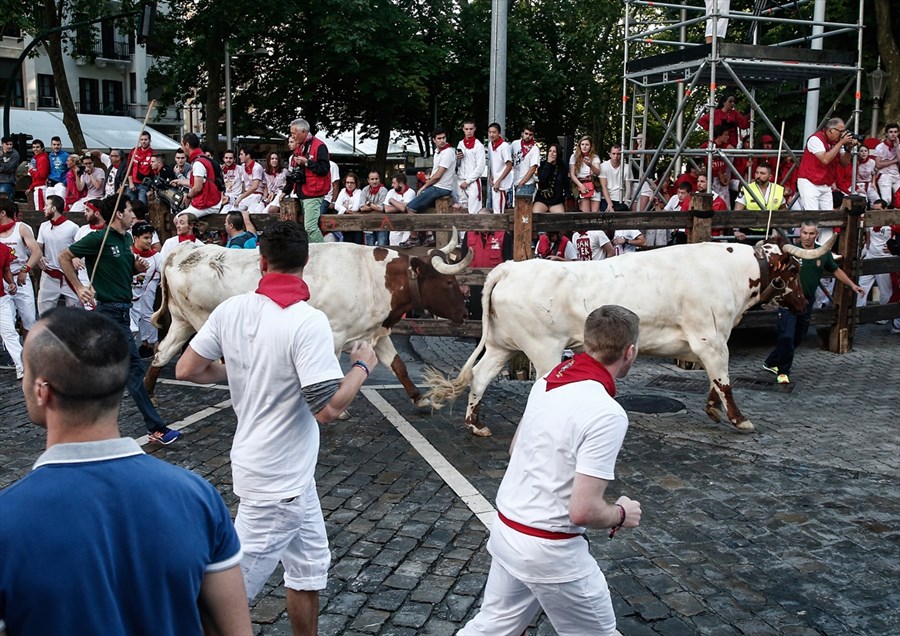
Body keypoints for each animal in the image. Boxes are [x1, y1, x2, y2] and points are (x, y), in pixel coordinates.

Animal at [142, 231, 472, 404]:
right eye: (448, 282)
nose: (465, 313)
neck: (375, 276)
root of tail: (186, 250)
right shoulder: (335, 334)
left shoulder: (375, 333)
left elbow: (399, 366)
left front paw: (419, 397)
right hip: (200, 323)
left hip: (182, 322)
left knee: (162, 353)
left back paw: (150, 397)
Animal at [426, 238, 832, 438]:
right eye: (792, 270)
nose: (804, 303)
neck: (730, 271)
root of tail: (511, 267)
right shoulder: (711, 339)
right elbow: (724, 381)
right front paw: (739, 420)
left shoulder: (709, 343)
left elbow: (714, 381)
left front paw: (713, 409)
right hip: (543, 348)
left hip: (503, 345)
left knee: (480, 377)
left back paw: (476, 424)